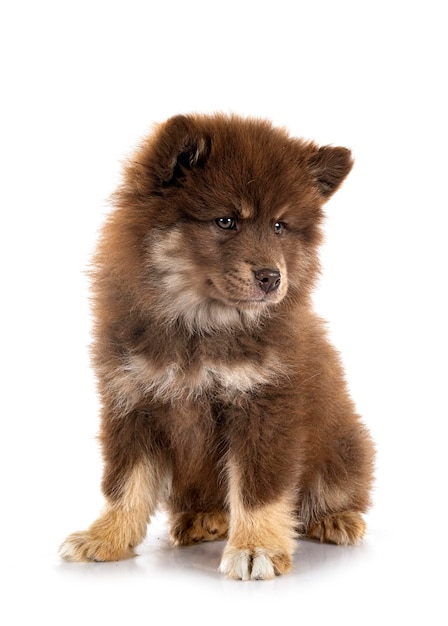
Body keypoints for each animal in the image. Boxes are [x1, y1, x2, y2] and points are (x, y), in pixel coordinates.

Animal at [59, 114, 374, 576]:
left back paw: (337, 519)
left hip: (342, 445)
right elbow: (124, 484)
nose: (271, 277)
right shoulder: (131, 401)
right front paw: (105, 537)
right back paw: (203, 518)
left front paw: (256, 547)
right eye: (226, 221)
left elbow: (258, 489)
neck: (199, 323)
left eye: (279, 226)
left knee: (334, 490)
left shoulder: (265, 406)